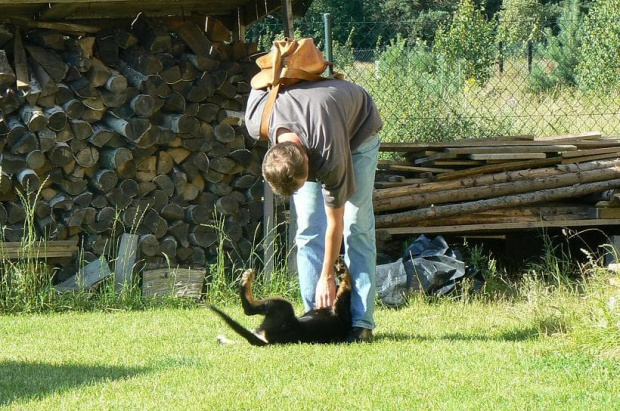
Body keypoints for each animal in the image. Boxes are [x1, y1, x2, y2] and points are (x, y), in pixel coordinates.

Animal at [209, 260, 352, 346]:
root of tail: (267, 341)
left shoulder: (341, 309)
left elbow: (347, 286)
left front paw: (343, 271)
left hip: (283, 306)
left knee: (249, 309)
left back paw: (246, 280)